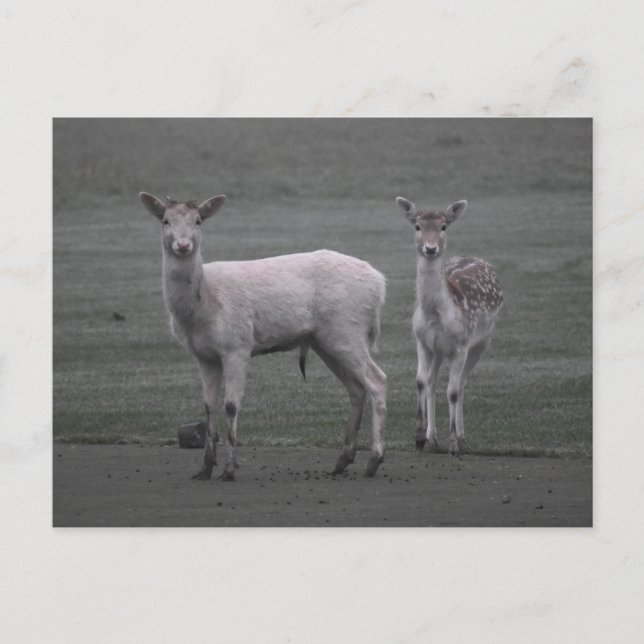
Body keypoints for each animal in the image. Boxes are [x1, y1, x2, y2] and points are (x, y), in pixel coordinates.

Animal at [139, 192, 387, 481]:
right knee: (356, 389)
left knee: (377, 380)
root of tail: (380, 283)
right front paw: (204, 469)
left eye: (198, 221)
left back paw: (374, 461)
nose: (183, 244)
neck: (202, 306)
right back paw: (341, 461)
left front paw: (229, 469)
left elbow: (231, 405)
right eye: (165, 221)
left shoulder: (237, 345)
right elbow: (209, 406)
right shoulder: (204, 356)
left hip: (347, 328)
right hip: (325, 340)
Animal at [396, 196, 503, 457]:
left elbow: (452, 391)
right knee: (432, 381)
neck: (436, 315)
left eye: (443, 226)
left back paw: (462, 438)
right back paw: (432, 437)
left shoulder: (461, 345)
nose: (430, 248)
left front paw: (453, 445)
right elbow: (420, 381)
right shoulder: (422, 341)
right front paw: (419, 438)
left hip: (483, 340)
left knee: (461, 384)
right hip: (439, 350)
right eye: (417, 226)